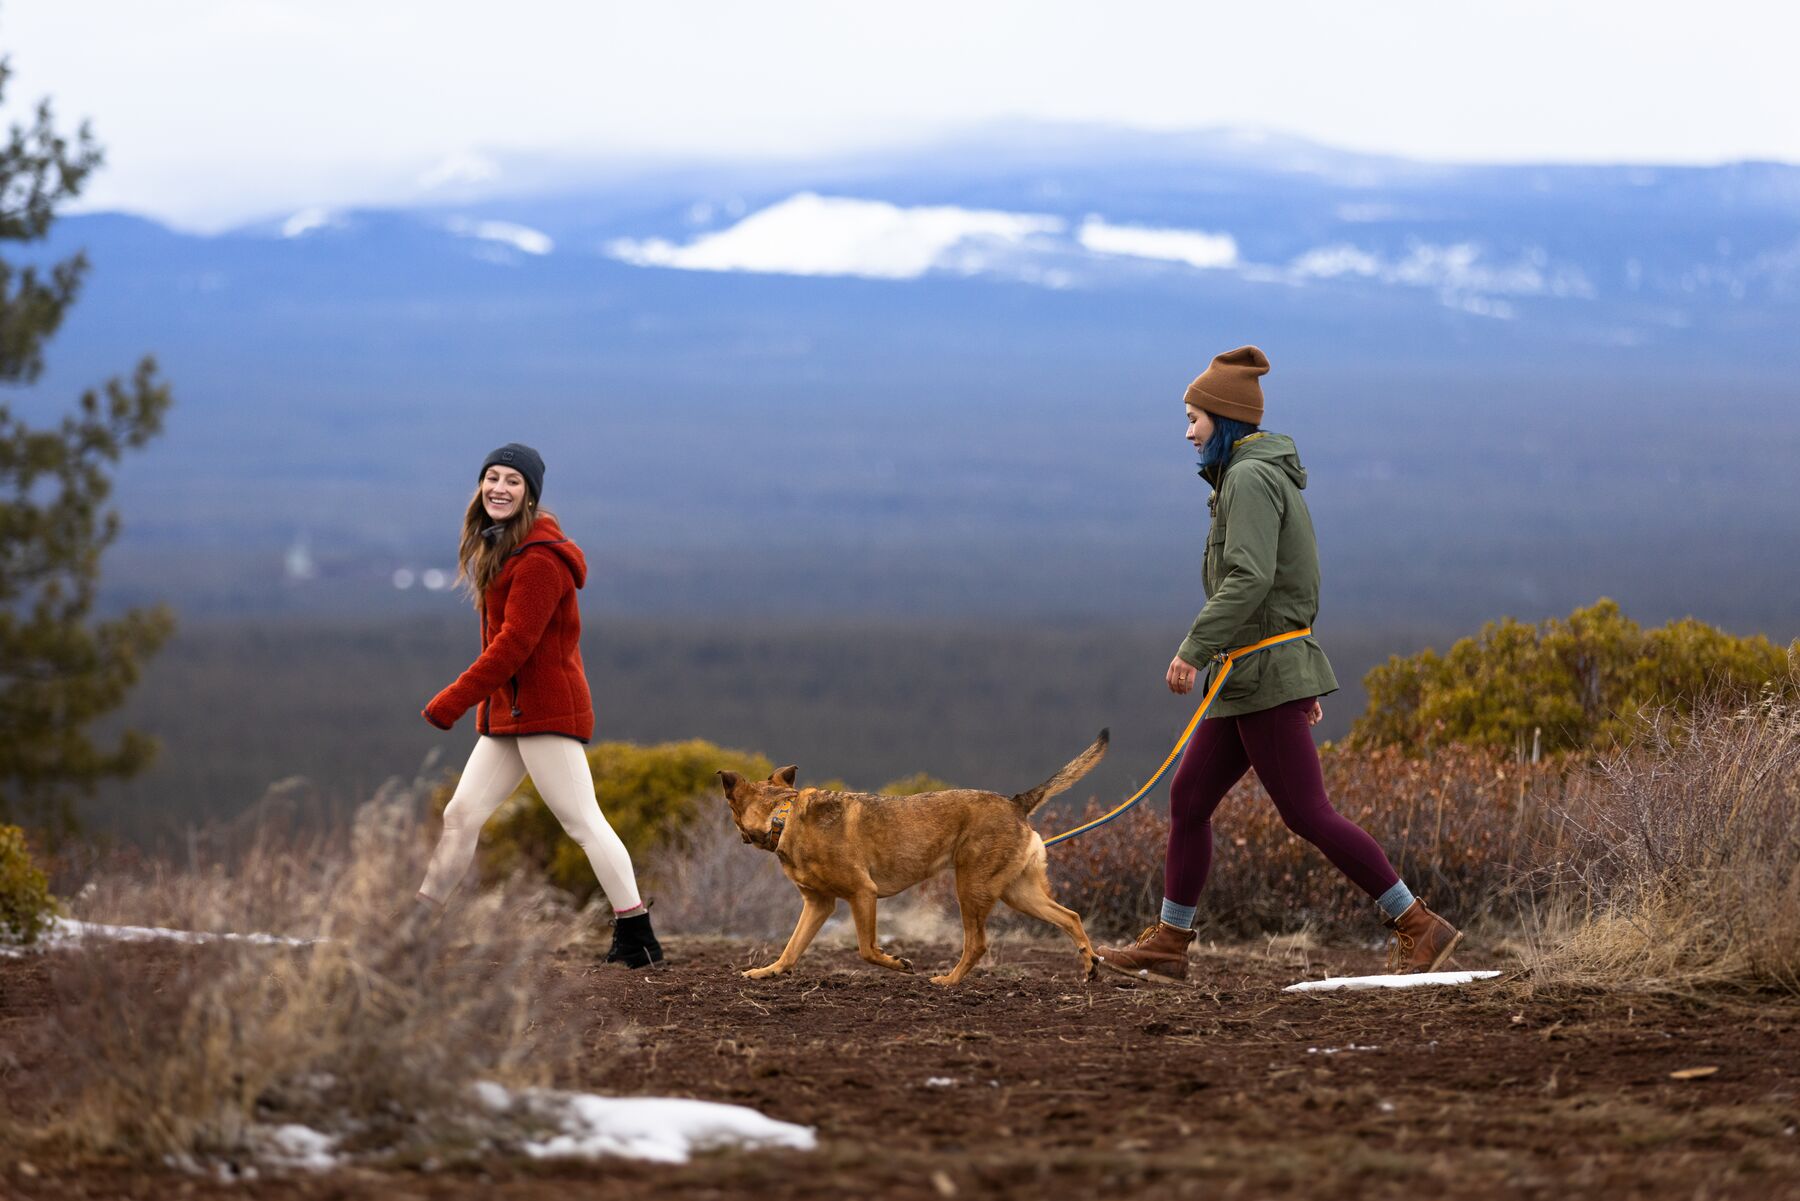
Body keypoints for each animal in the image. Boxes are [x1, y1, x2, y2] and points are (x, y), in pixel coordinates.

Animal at [716, 727, 1108, 993]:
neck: (782, 816)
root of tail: (1015, 803)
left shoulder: (862, 893)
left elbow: (866, 950)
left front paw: (899, 963)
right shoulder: (818, 904)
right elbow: (791, 948)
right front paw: (768, 971)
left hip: (971, 888)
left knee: (978, 943)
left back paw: (947, 980)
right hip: (1017, 893)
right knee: (1070, 916)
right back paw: (1090, 965)